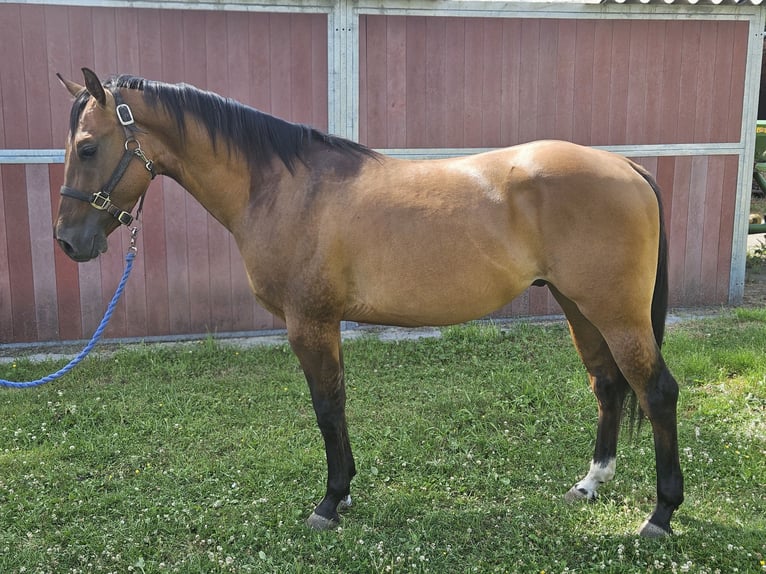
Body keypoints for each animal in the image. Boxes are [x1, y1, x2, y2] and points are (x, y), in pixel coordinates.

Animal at [53, 68, 683, 537]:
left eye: (87, 147)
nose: (68, 242)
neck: (287, 189)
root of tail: (625, 166)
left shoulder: (309, 322)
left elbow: (326, 408)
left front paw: (330, 503)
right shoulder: (323, 323)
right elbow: (338, 404)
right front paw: (346, 492)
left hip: (615, 312)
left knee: (656, 392)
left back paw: (660, 515)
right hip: (581, 307)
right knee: (607, 385)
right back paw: (591, 483)